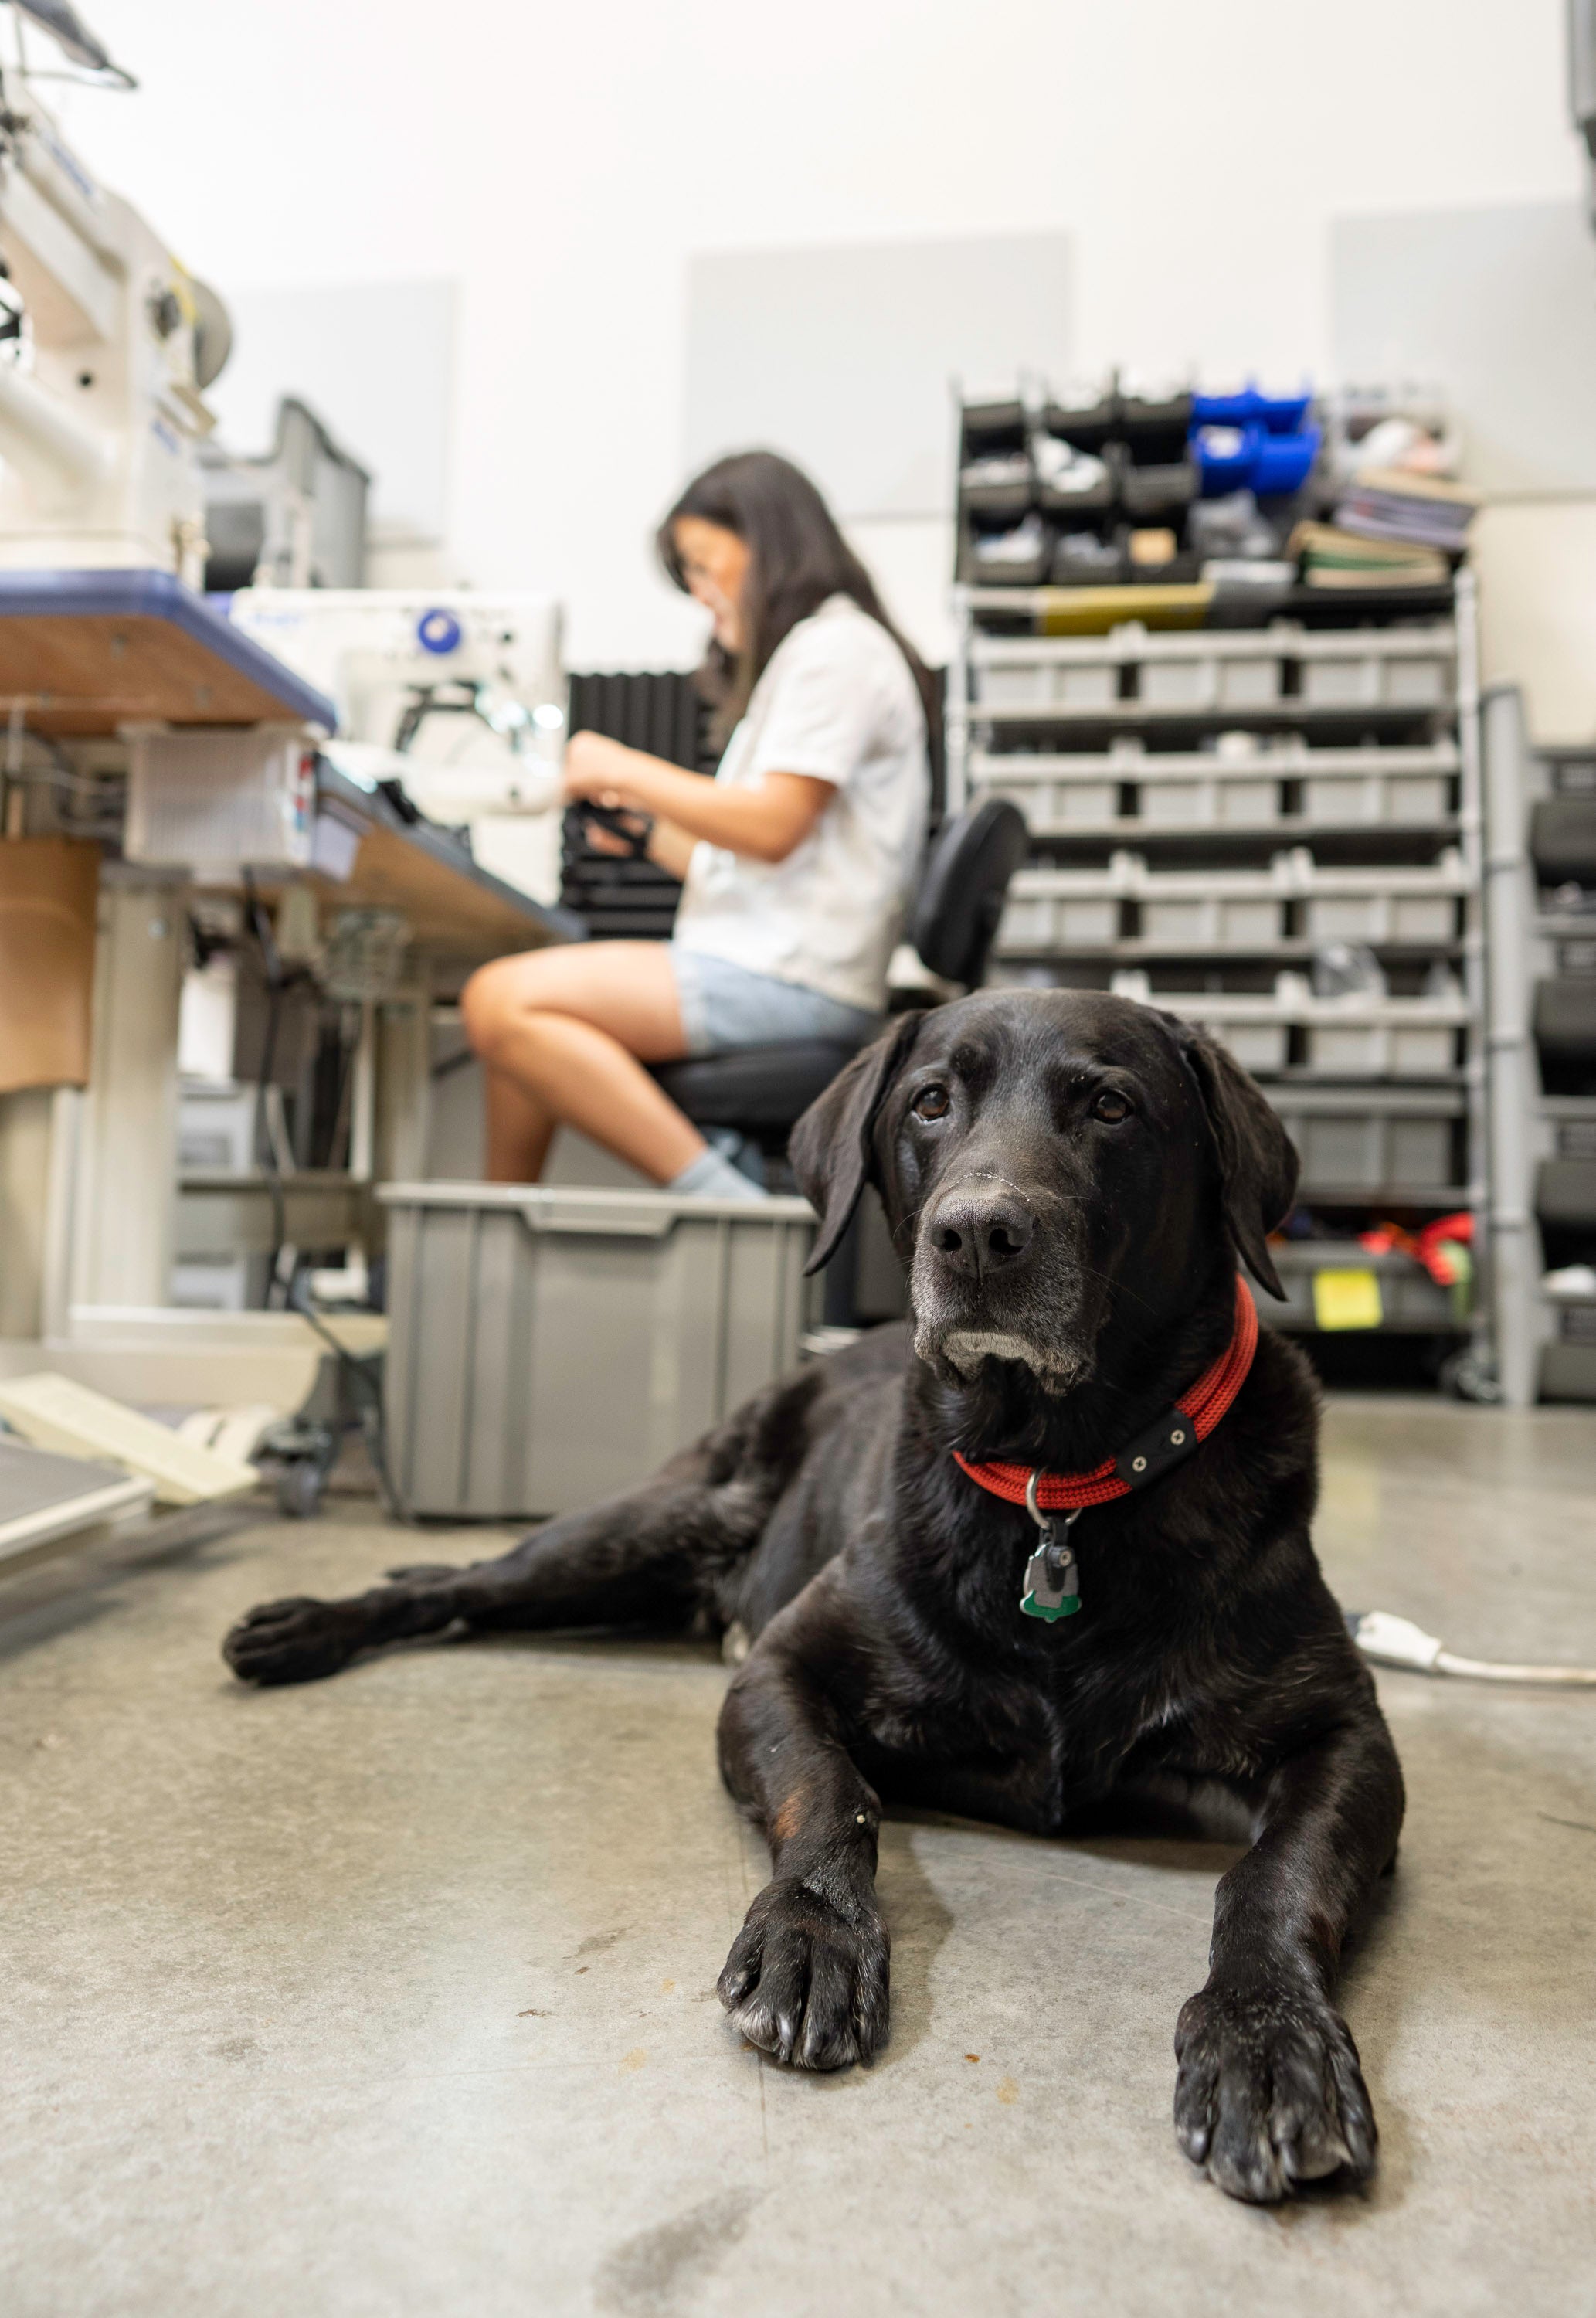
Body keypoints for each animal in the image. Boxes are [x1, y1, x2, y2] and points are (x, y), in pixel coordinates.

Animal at [221, 992, 1390, 2207]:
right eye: (931, 1101)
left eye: (1112, 1106)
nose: (976, 1235)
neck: (1055, 1490)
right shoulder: (779, 1672)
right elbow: (835, 1794)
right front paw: (811, 1937)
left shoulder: (1344, 1737)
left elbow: (1271, 1877)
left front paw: (1267, 2035)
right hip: (630, 1530)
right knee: (461, 1584)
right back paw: (304, 1626)